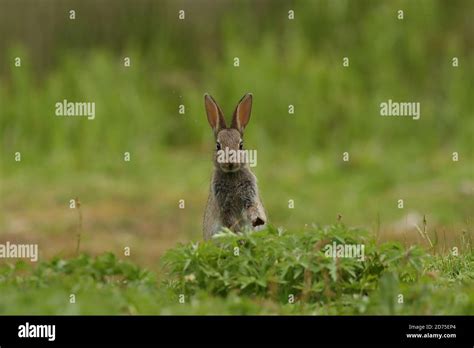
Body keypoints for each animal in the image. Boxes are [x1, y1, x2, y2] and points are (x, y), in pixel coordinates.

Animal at [202, 92, 264, 239]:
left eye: (241, 145)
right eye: (218, 146)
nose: (230, 162)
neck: (231, 174)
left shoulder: (249, 197)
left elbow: (251, 209)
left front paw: (256, 221)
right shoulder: (224, 206)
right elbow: (229, 220)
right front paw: (237, 233)